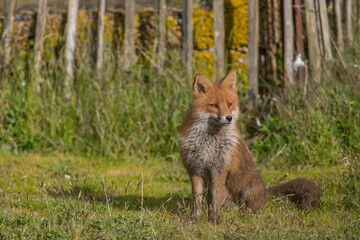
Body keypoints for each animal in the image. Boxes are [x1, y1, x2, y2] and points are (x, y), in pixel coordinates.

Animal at [179, 69, 322, 223]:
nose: (229, 118)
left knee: (248, 208)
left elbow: (215, 198)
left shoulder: (219, 169)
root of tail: (265, 193)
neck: (209, 142)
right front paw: (195, 218)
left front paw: (214, 220)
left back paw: (244, 214)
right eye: (214, 105)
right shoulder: (194, 169)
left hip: (246, 190)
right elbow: (197, 199)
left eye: (229, 104)